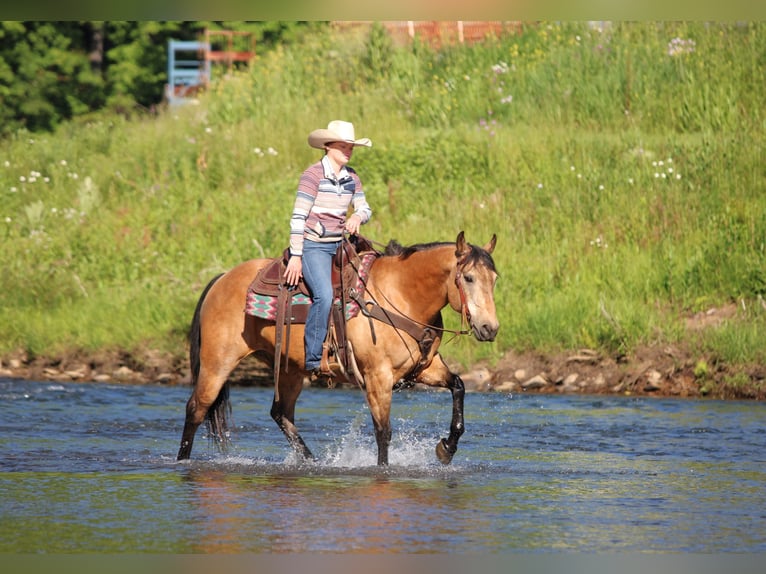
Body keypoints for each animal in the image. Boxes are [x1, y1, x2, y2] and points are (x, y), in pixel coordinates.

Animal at [176, 231, 499, 466]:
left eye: (494, 279)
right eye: (468, 277)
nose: (490, 328)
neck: (402, 295)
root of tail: (221, 279)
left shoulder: (425, 369)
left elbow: (458, 386)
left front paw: (446, 448)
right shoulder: (377, 378)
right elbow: (383, 432)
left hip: (290, 370)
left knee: (281, 413)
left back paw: (312, 462)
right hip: (217, 363)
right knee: (196, 409)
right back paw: (182, 461)